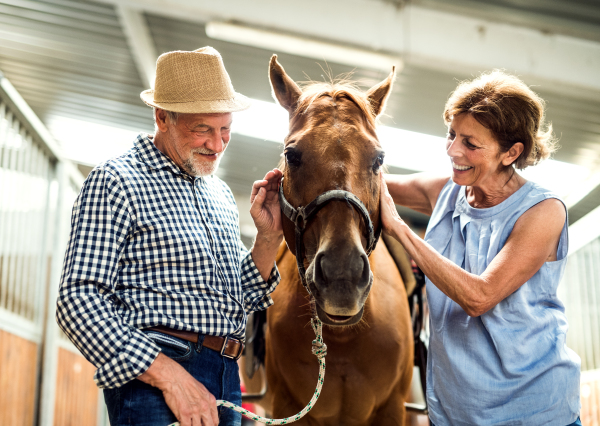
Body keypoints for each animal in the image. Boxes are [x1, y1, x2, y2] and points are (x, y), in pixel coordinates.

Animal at [243, 56, 412, 426]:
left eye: (378, 158)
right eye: (292, 155)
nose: (341, 275)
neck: (342, 338)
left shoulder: (394, 409)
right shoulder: (288, 406)